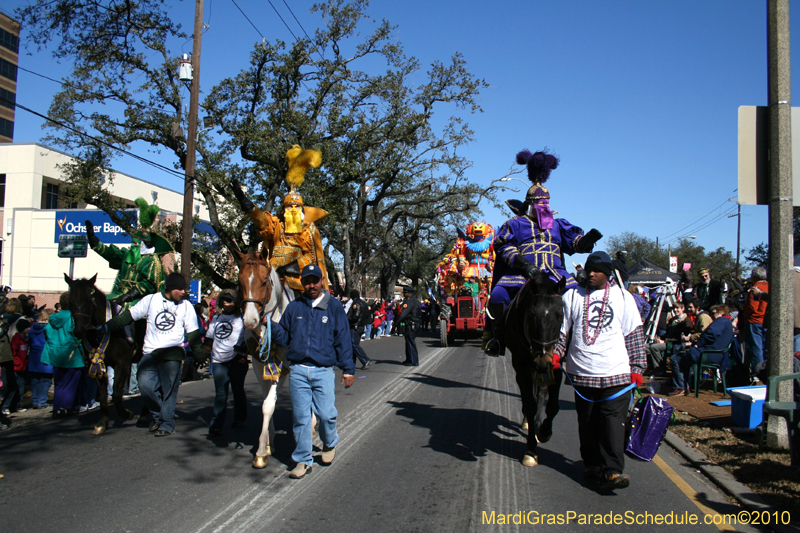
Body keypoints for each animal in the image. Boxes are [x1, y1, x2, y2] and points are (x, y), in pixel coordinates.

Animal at [65, 274, 138, 432]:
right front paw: (102, 423)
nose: (79, 331)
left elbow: (116, 393)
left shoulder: (122, 363)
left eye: (89, 299)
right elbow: (103, 393)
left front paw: (127, 414)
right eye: (70, 301)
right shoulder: (96, 364)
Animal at [506, 270, 568, 466]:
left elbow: (553, 405)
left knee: (541, 393)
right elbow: (529, 404)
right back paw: (528, 421)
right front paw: (531, 450)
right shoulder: (521, 367)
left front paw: (544, 431)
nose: (542, 361)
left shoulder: (556, 366)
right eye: (531, 314)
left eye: (560, 315)